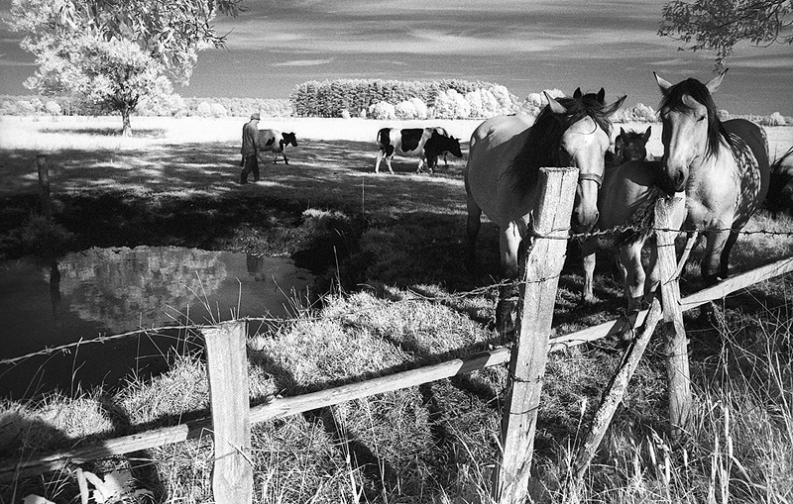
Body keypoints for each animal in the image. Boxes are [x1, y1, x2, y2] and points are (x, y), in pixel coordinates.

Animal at [464, 86, 624, 330]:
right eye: (563, 147)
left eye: (606, 150)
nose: (586, 215)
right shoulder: (510, 229)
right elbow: (509, 273)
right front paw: (504, 322)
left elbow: (584, 261)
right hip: (472, 201)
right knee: (472, 229)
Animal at [652, 70, 772, 284]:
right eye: (664, 117)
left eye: (701, 117)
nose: (672, 174)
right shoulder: (680, 224)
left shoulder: (720, 227)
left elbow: (708, 268)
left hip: (740, 222)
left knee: (727, 250)